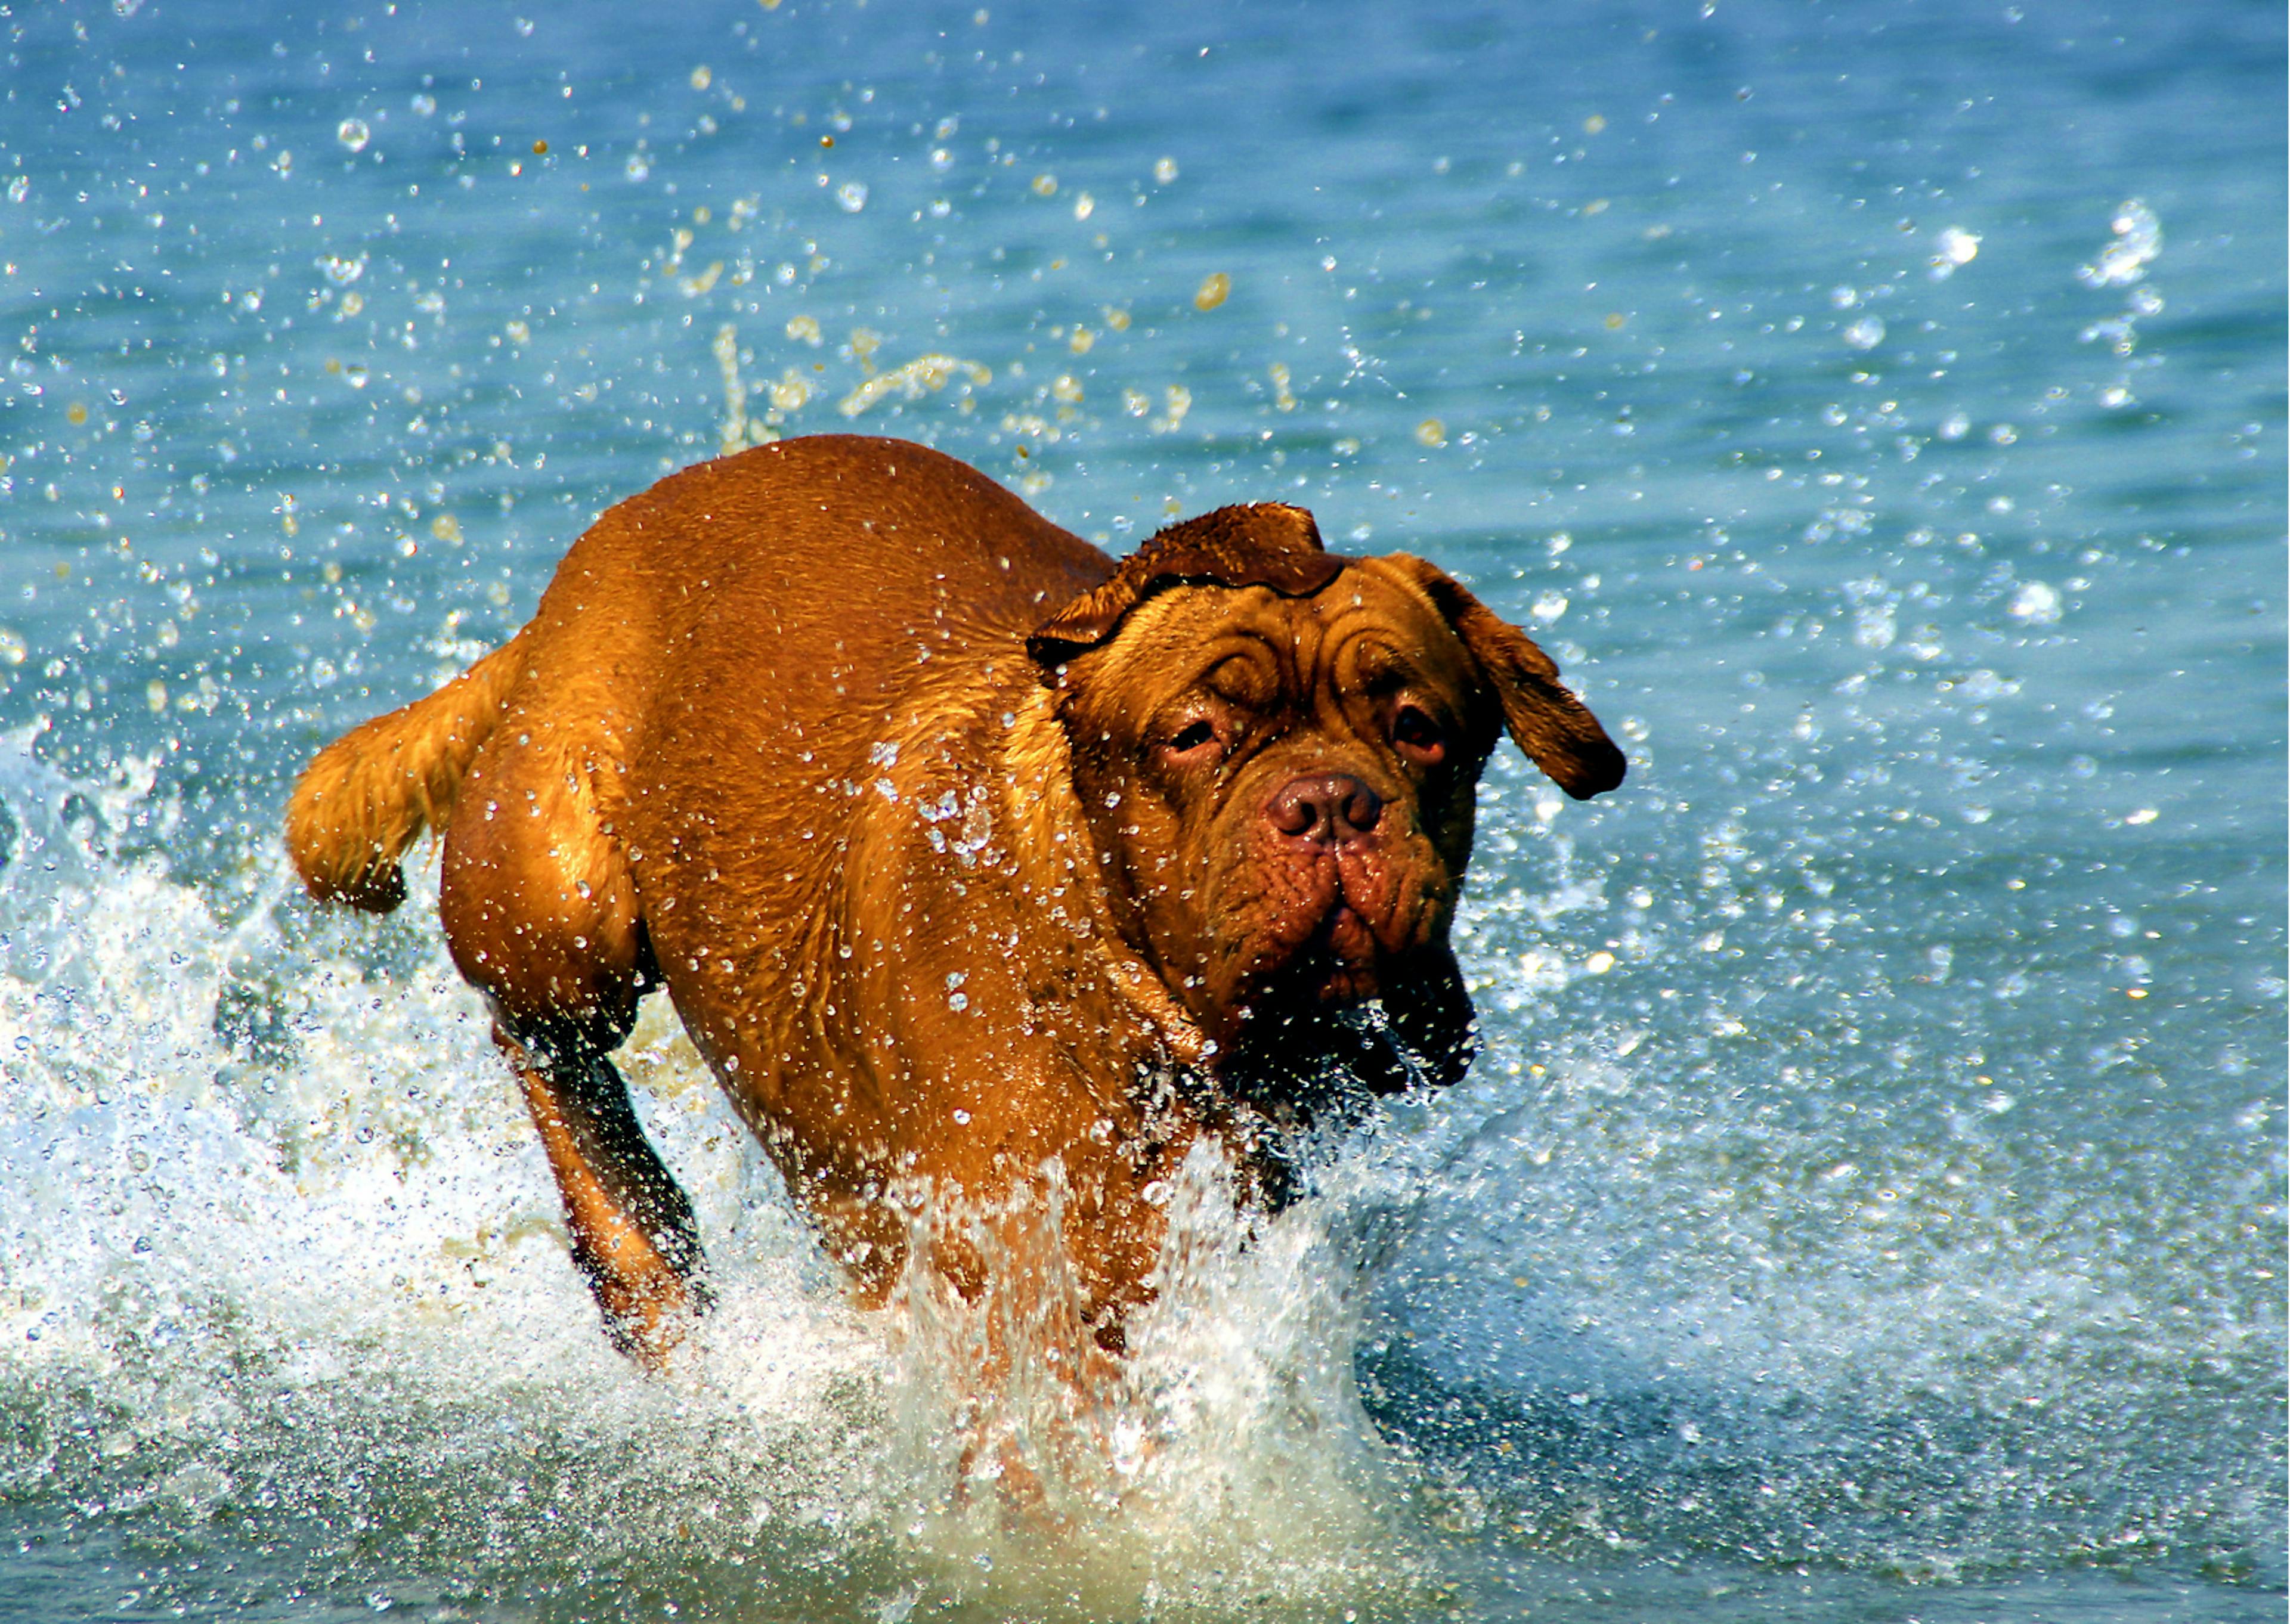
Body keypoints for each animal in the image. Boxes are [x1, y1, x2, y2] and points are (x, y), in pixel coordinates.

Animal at [281, 433, 1630, 1365]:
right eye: (1194, 735)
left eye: (1420, 729)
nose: (1332, 804)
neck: (1134, 998)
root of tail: (582, 568)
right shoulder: (1018, 1267)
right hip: (556, 902)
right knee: (546, 1046)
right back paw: (639, 1254)